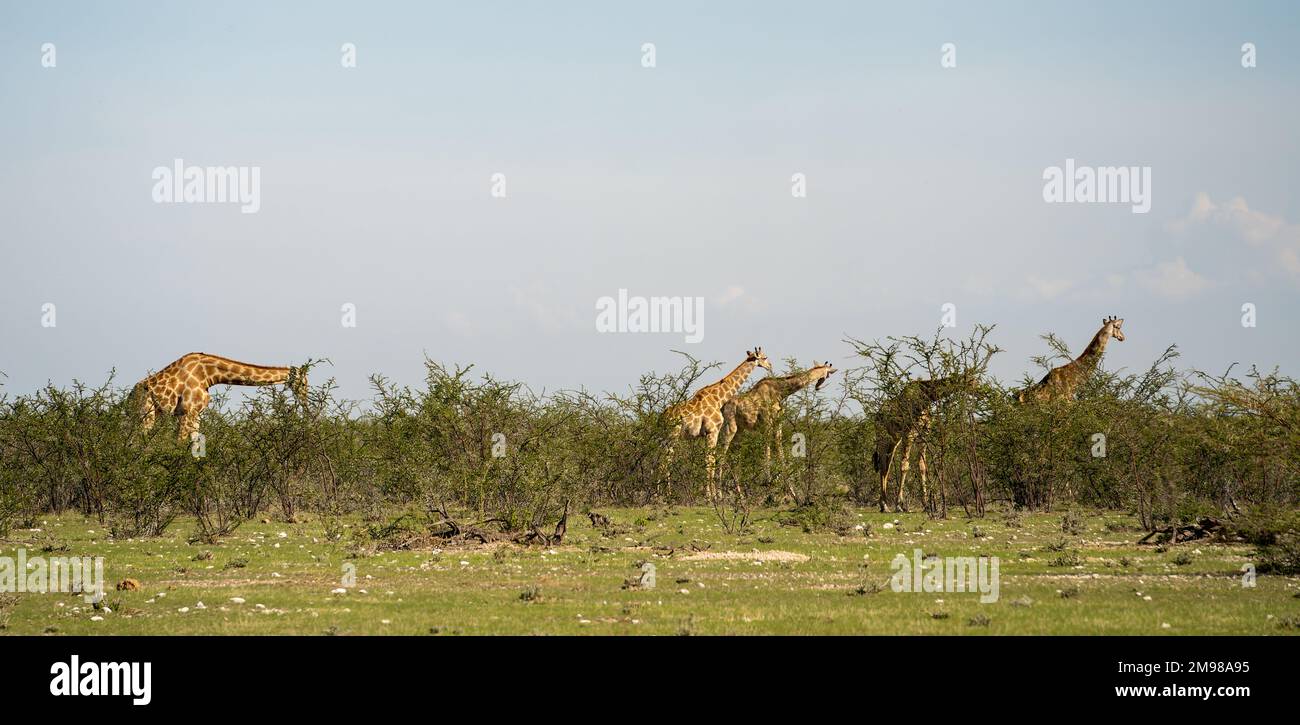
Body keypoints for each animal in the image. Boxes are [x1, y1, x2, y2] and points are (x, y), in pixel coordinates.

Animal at [130, 353, 308, 444]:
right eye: (304, 383)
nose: (305, 403)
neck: (209, 375)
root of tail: (130, 396)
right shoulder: (187, 411)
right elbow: (179, 443)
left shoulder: (197, 413)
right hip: (146, 413)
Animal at [660, 348, 769, 498]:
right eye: (764, 357)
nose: (770, 366)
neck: (718, 399)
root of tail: (662, 417)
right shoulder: (712, 431)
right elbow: (710, 460)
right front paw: (711, 495)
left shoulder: (709, 433)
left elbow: (710, 459)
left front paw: (712, 494)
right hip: (673, 436)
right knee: (666, 461)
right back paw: (666, 494)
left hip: (665, 438)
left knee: (660, 461)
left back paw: (658, 493)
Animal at [717, 361, 837, 498]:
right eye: (828, 373)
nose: (818, 386)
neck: (780, 391)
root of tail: (722, 408)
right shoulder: (767, 422)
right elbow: (768, 449)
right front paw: (767, 482)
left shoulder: (778, 424)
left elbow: (781, 453)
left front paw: (791, 491)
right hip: (729, 427)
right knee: (720, 455)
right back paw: (718, 494)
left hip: (740, 431)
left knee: (733, 456)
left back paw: (739, 494)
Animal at [873, 371, 977, 514]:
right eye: (972, 381)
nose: (979, 390)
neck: (925, 398)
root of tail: (877, 416)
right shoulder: (909, 435)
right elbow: (904, 466)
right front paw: (899, 505)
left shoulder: (923, 436)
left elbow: (922, 466)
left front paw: (926, 504)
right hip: (883, 438)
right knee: (883, 466)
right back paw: (885, 505)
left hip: (894, 440)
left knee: (886, 466)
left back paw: (884, 505)